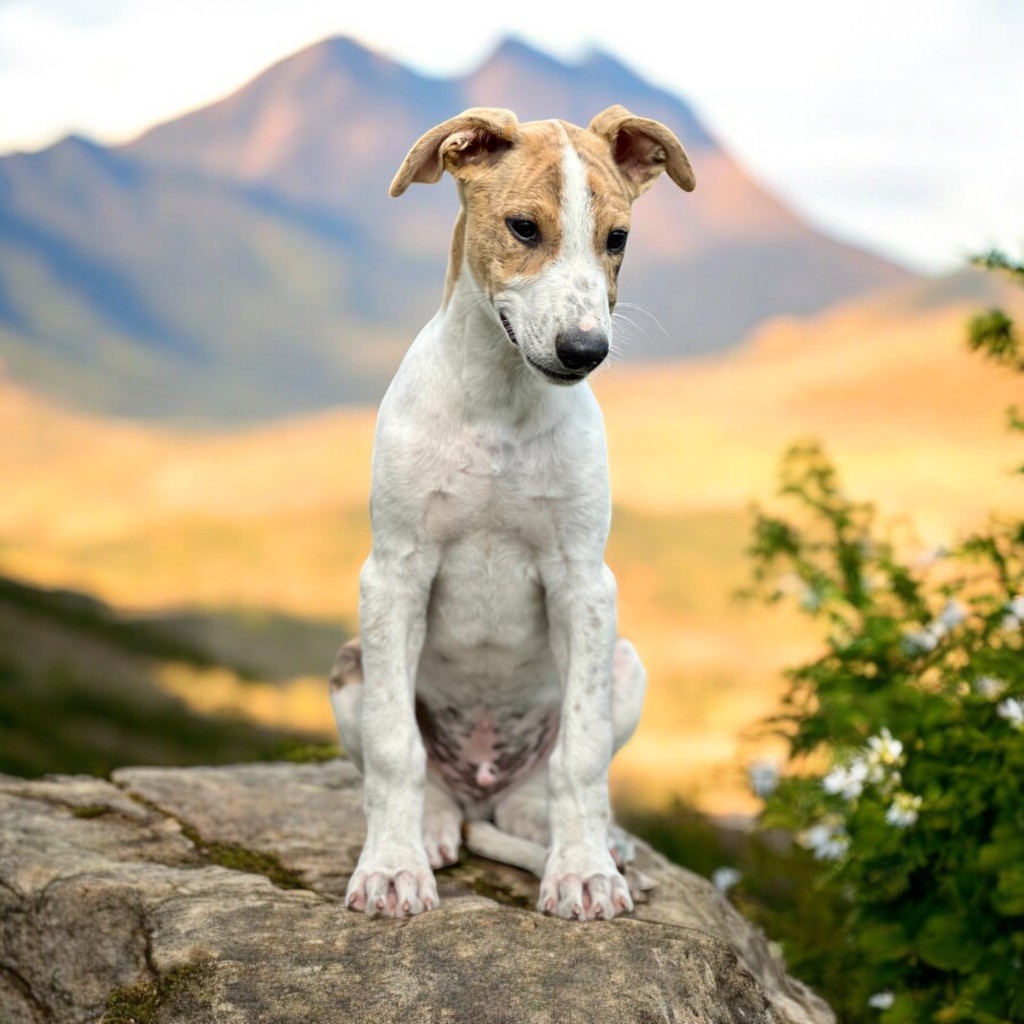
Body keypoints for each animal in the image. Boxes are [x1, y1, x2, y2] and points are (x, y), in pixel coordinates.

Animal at [331, 103, 692, 921]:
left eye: (617, 239)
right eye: (524, 228)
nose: (585, 350)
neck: (501, 402)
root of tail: (481, 788)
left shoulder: (584, 583)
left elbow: (582, 754)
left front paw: (584, 871)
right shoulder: (393, 574)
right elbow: (394, 748)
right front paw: (391, 868)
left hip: (625, 664)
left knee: (548, 783)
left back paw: (580, 836)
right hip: (351, 667)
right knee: (421, 776)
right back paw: (433, 827)